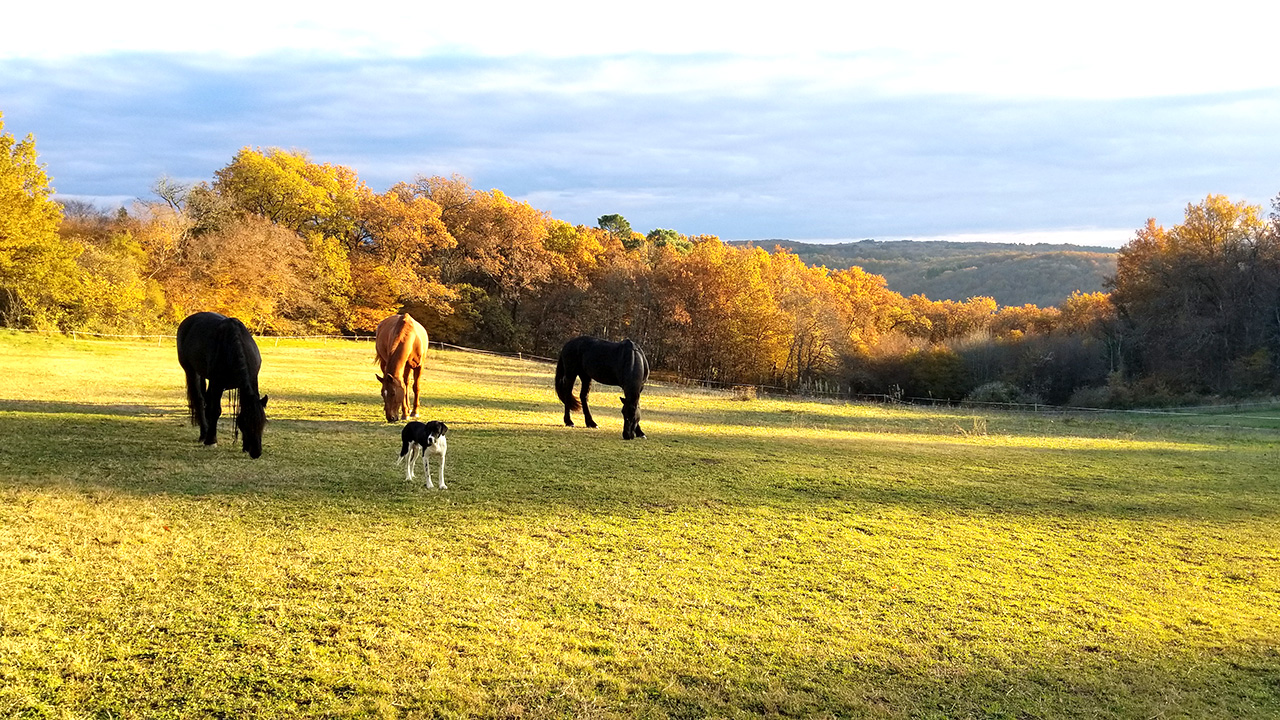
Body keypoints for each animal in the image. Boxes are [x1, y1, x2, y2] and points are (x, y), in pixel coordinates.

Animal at [176, 312, 269, 458]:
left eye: (262, 423)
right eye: (244, 423)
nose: (256, 452)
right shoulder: (217, 384)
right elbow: (215, 410)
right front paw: (211, 441)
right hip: (191, 371)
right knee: (199, 400)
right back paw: (204, 434)